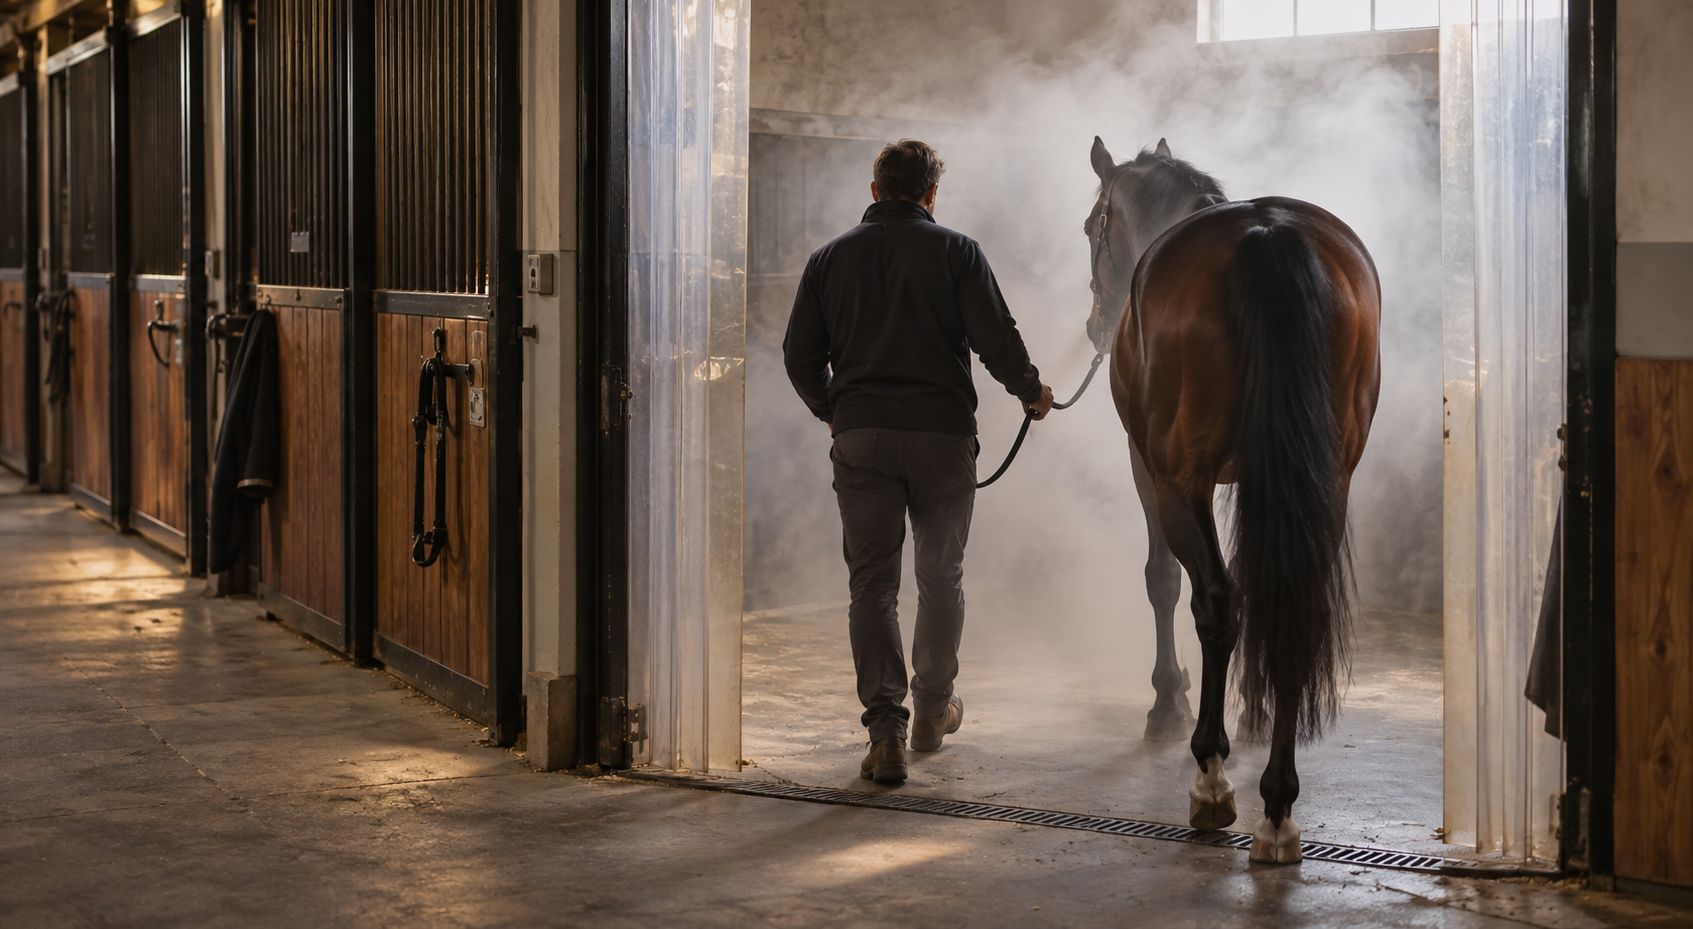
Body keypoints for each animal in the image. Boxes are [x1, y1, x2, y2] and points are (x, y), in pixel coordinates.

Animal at [1083, 136, 1381, 864]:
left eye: (1090, 228)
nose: (1096, 325)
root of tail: (1265, 234)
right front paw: (1256, 710)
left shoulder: (1151, 472)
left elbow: (1165, 581)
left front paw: (1169, 702)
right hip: (1327, 478)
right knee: (1293, 603)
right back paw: (1277, 803)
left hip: (1179, 479)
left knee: (1215, 601)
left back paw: (1212, 778)